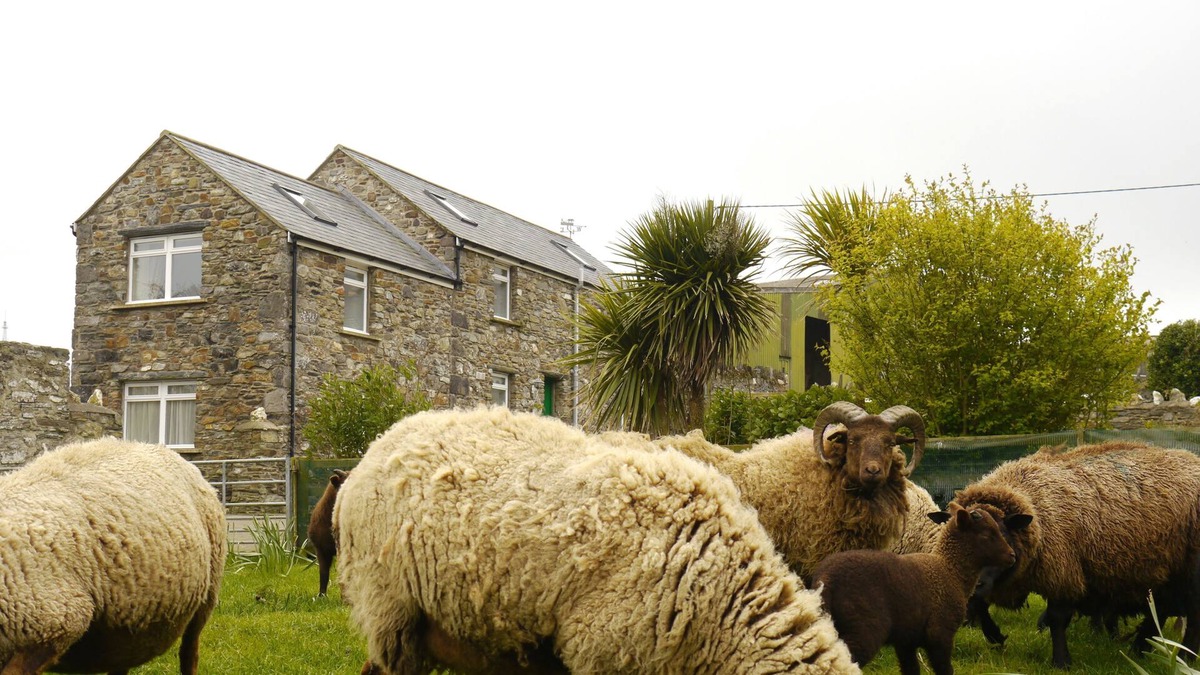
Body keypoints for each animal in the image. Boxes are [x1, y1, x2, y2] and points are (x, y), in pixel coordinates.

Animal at [813, 502, 1030, 674]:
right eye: (986, 534)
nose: (1012, 556)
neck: (951, 570)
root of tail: (826, 577)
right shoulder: (940, 634)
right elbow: (945, 670)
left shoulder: (906, 641)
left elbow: (911, 670)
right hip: (864, 628)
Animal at [953, 440, 1200, 668]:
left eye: (1001, 534)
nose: (976, 582)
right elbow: (977, 604)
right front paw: (995, 636)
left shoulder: (1063, 571)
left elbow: (1057, 618)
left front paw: (1061, 662)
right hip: (1165, 574)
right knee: (1160, 610)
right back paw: (1139, 650)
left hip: (1189, 572)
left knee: (1189, 616)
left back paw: (1184, 657)